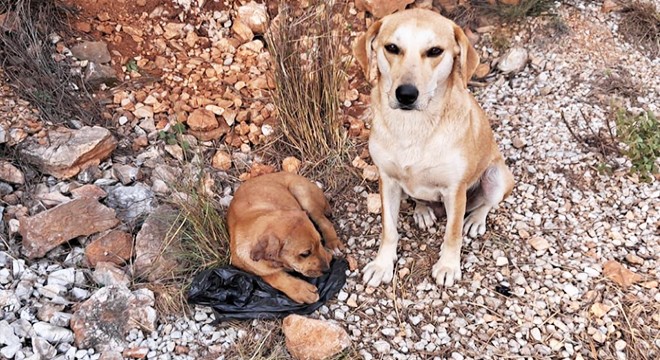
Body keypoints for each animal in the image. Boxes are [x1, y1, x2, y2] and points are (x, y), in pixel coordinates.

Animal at [228, 172, 342, 304]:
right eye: (305, 253)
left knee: (324, 222)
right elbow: (272, 276)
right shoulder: (246, 265)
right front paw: (302, 291)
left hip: (302, 193)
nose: (327, 270)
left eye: (320, 242)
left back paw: (333, 244)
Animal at [356, 9, 516, 288]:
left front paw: (448, 266)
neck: (413, 127)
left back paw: (475, 220)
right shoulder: (387, 181)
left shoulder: (455, 190)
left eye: (434, 51)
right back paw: (423, 211)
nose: (406, 94)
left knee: (487, 203)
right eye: (392, 48)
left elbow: (452, 233)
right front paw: (382, 264)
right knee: (419, 198)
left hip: (497, 177)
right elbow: (389, 229)